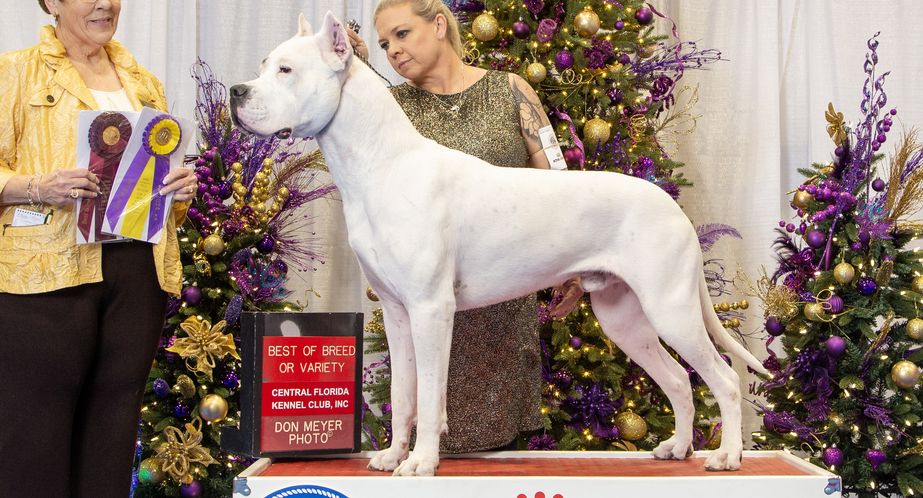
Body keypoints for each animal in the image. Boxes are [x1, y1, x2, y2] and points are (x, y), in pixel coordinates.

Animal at [230, 12, 769, 476]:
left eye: (285, 70)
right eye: (262, 66)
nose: (236, 90)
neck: (380, 162)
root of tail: (674, 209)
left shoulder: (431, 309)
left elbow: (430, 397)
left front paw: (421, 463)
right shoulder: (399, 314)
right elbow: (404, 395)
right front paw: (393, 455)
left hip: (670, 308)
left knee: (723, 380)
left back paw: (726, 456)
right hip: (625, 317)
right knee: (678, 380)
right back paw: (677, 448)